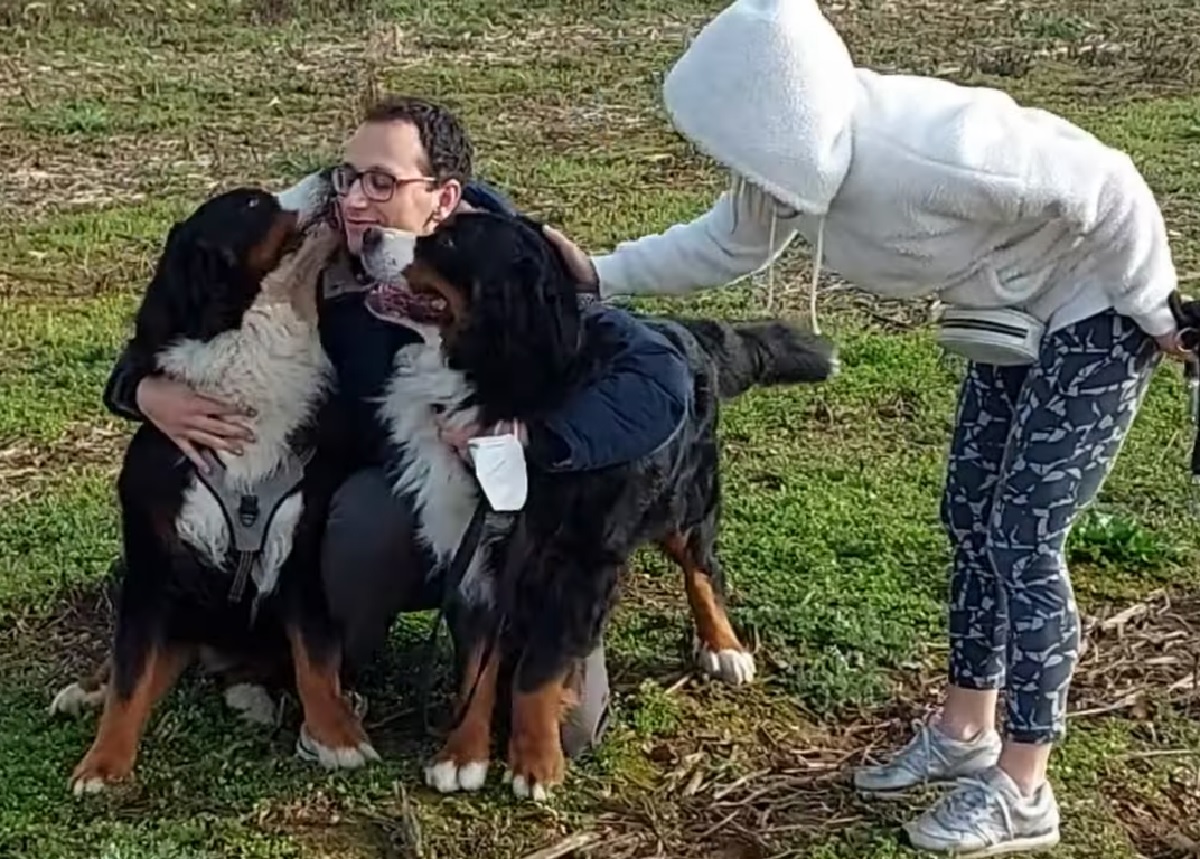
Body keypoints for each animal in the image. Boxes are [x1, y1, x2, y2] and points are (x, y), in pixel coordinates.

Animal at [50, 185, 379, 791]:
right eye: (251, 204)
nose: (334, 176)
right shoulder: (153, 568)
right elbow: (131, 674)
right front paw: (103, 764)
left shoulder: (299, 554)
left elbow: (315, 659)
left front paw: (338, 736)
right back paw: (87, 690)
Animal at [360, 211, 840, 801]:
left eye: (447, 239)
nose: (368, 235)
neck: (508, 384)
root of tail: (682, 330)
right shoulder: (474, 559)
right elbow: (476, 667)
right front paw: (462, 755)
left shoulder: (579, 563)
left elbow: (537, 672)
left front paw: (535, 764)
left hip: (685, 503)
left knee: (703, 570)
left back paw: (724, 647)